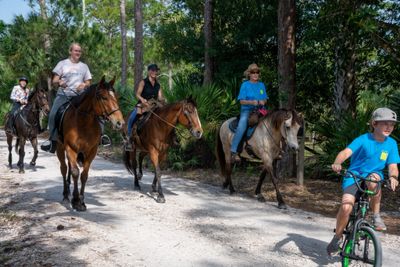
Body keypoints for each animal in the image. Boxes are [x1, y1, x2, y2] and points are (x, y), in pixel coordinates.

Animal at [57, 76, 124, 213]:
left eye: (116, 97)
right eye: (103, 97)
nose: (120, 123)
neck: (83, 122)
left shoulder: (91, 151)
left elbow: (84, 175)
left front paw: (82, 202)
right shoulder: (70, 148)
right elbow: (75, 172)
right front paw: (75, 201)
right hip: (60, 148)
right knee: (64, 168)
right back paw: (66, 196)